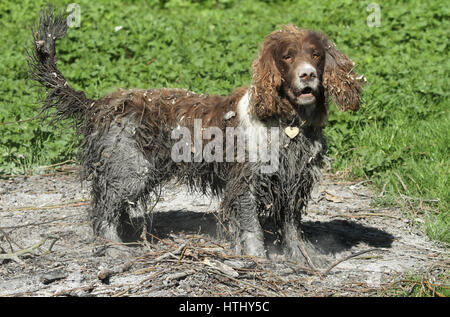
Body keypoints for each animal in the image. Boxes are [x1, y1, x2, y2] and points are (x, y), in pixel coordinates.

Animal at [28, 9, 364, 262]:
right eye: (288, 56)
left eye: (316, 54)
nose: (308, 74)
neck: (287, 122)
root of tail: (99, 104)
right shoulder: (246, 182)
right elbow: (252, 228)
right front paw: (258, 259)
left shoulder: (295, 181)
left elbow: (292, 226)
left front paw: (302, 257)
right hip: (130, 170)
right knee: (103, 211)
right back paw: (115, 249)